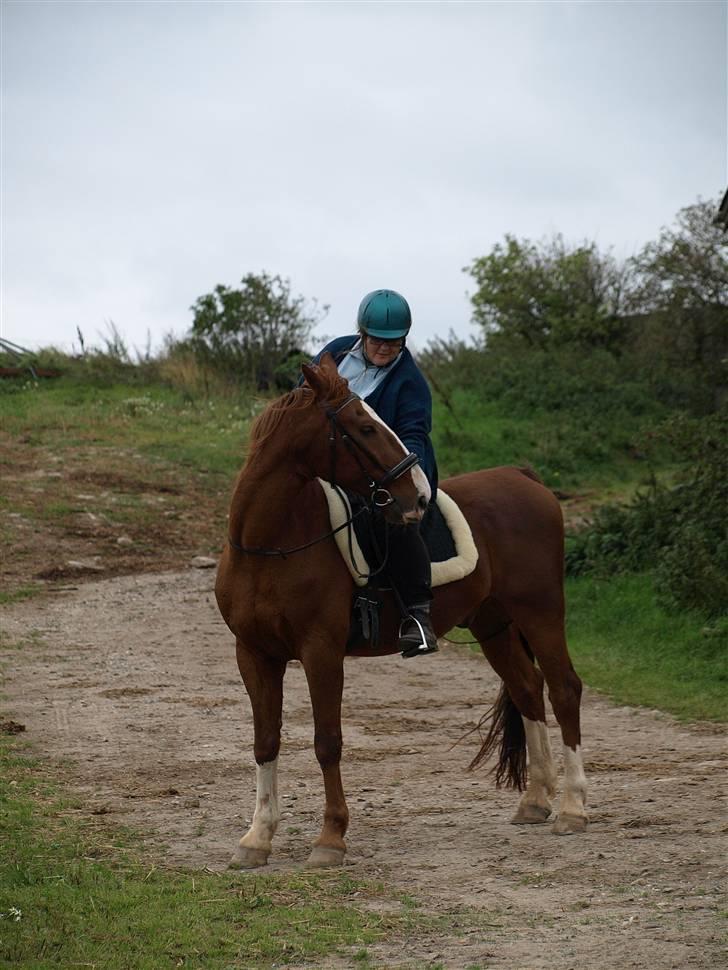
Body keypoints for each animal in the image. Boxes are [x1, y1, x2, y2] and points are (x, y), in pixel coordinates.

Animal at [215, 352, 584, 864]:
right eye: (365, 427)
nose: (419, 496)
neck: (269, 545)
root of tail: (524, 478)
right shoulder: (253, 654)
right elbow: (265, 741)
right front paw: (257, 837)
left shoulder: (320, 652)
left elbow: (327, 742)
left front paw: (330, 838)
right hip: (495, 625)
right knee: (528, 690)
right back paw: (534, 801)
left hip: (541, 612)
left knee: (564, 690)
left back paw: (573, 808)